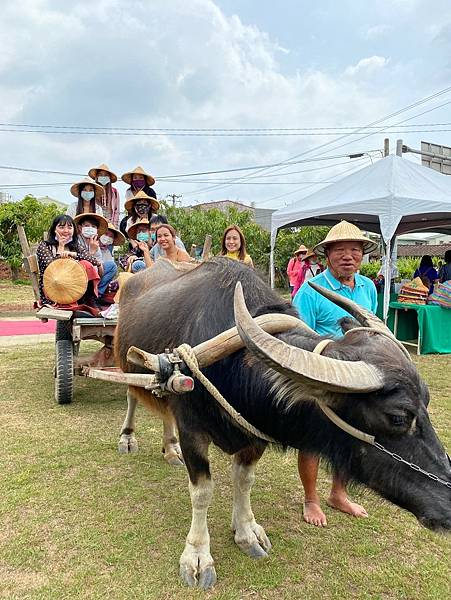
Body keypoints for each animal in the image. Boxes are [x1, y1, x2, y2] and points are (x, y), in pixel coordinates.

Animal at [115, 256, 450, 584]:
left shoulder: (255, 436)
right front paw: (197, 555)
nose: (448, 502)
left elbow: (244, 480)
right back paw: (128, 437)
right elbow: (202, 492)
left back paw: (170, 448)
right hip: (126, 364)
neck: (235, 367)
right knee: (132, 395)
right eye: (398, 417)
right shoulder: (192, 431)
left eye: (427, 402)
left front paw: (246, 532)